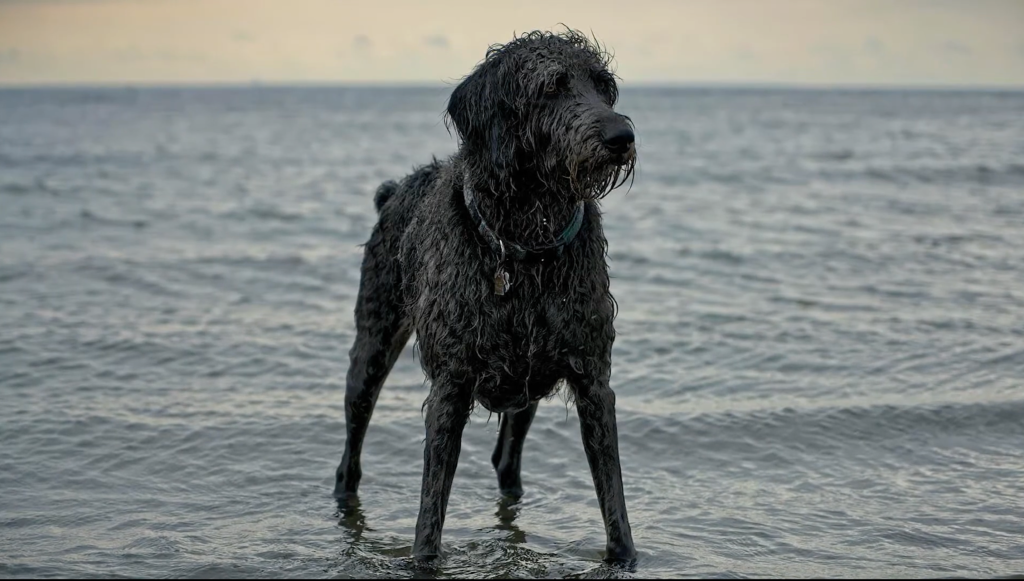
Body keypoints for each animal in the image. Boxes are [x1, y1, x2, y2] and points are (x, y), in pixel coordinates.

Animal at [335, 28, 634, 565]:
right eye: (552, 86)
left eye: (604, 87)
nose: (622, 136)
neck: (527, 249)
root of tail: (393, 190)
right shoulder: (451, 390)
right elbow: (429, 520)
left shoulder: (593, 382)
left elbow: (614, 505)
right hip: (370, 352)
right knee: (350, 456)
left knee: (505, 461)